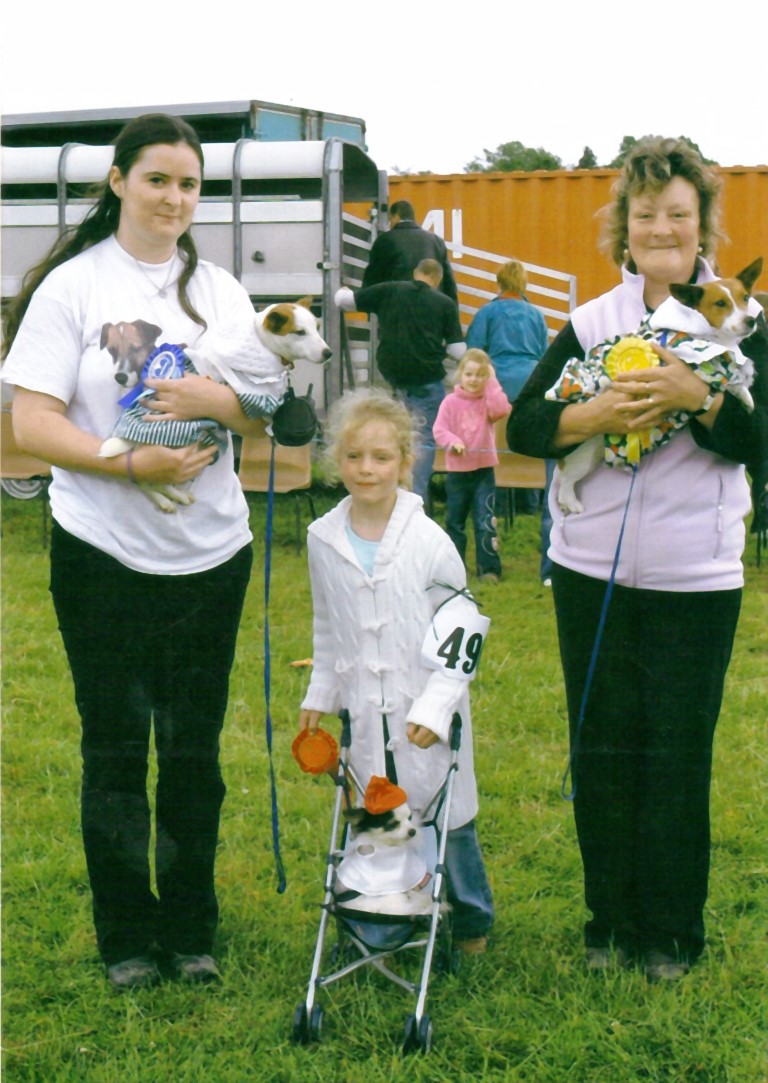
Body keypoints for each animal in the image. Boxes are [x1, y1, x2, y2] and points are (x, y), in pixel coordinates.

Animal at [98, 298, 331, 512]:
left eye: (317, 327)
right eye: (299, 332)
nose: (328, 353)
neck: (261, 340)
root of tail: (128, 437)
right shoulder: (250, 391)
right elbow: (266, 406)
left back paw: (169, 498)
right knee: (149, 480)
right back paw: (172, 499)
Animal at [550, 258, 763, 514]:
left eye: (745, 298)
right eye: (720, 303)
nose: (751, 321)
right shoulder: (694, 364)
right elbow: (727, 380)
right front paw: (743, 392)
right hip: (584, 456)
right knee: (565, 478)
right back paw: (570, 502)